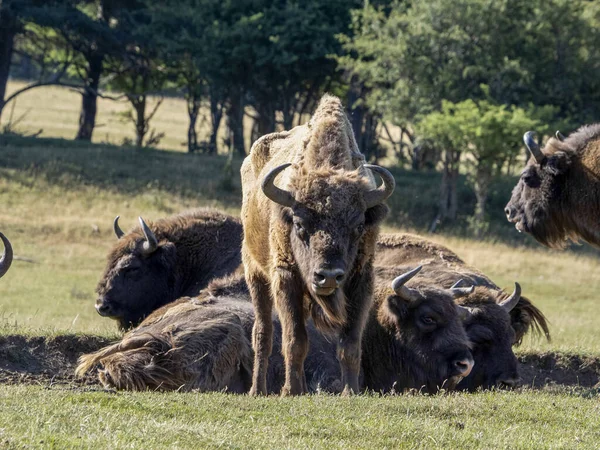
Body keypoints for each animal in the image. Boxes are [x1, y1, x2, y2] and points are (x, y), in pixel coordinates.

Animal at [241, 94, 396, 394]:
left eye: (358, 226)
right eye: (300, 224)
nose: (329, 276)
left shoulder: (361, 280)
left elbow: (349, 345)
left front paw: (350, 392)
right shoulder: (286, 277)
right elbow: (294, 340)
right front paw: (290, 391)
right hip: (254, 272)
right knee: (263, 332)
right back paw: (258, 389)